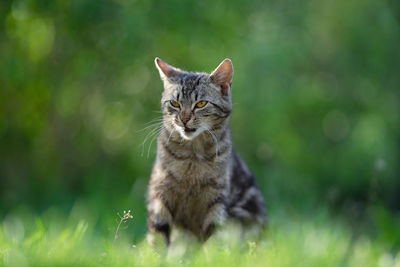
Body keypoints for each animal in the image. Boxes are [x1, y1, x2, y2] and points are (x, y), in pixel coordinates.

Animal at [146, 57, 266, 246]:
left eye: (201, 104)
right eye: (175, 103)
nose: (184, 119)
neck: (192, 156)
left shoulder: (216, 199)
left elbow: (214, 237)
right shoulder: (160, 194)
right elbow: (157, 236)